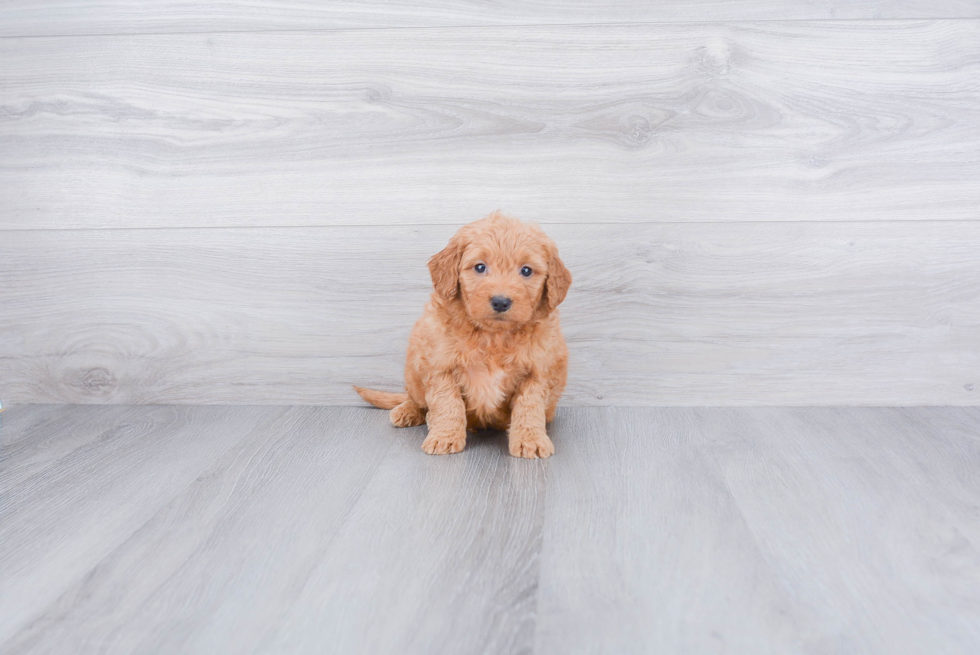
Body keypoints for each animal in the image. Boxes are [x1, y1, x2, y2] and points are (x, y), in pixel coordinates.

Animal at [354, 213, 572, 458]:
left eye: (526, 271)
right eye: (480, 267)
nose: (501, 301)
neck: (492, 336)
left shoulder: (539, 370)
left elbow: (529, 407)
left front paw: (530, 440)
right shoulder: (440, 366)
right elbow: (448, 404)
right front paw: (445, 437)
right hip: (413, 370)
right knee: (416, 398)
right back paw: (408, 411)